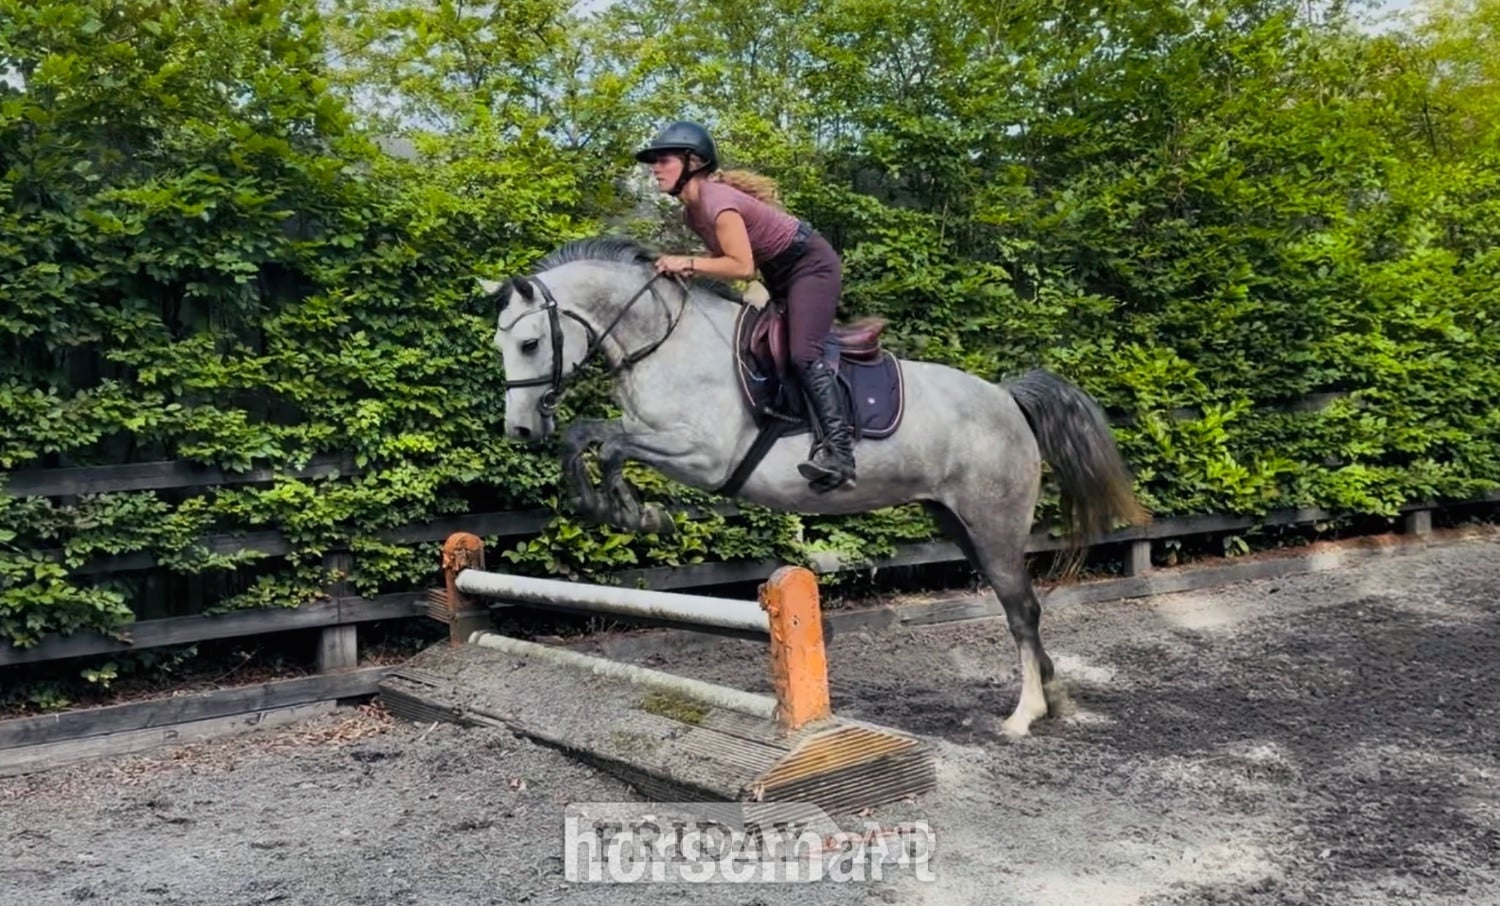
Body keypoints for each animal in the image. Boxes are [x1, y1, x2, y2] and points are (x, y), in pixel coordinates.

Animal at [479, 235, 1149, 737]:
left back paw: (1024, 715)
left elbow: (613, 446)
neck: (664, 344)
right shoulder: (652, 436)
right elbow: (585, 438)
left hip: (993, 523)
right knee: (1018, 606)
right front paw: (606, 505)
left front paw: (637, 514)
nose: (520, 429)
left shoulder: (702, 455)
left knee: (1021, 608)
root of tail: (1007, 398)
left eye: (531, 343)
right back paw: (1053, 697)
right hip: (957, 521)